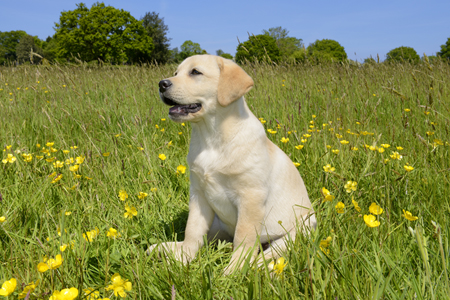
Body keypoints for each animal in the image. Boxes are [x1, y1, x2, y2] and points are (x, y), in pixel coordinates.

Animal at [149, 54, 316, 272]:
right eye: (176, 73)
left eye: (195, 72)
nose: (161, 84)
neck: (211, 137)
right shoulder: (199, 195)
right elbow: (192, 231)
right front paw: (182, 260)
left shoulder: (250, 197)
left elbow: (243, 238)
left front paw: (234, 271)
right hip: (217, 223)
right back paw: (163, 248)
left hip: (301, 227)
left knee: (274, 250)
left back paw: (260, 266)